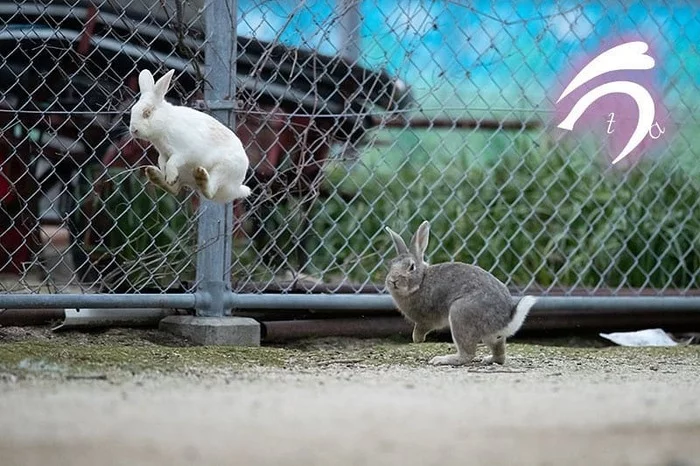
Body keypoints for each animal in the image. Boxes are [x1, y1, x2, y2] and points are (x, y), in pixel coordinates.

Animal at [129, 68, 252, 203]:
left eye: (147, 113)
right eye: (132, 110)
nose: (133, 130)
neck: (166, 122)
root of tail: (236, 188)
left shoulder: (185, 152)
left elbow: (173, 161)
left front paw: (170, 177)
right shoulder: (163, 154)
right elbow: (162, 162)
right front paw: (166, 175)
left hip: (223, 169)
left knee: (210, 191)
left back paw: (200, 176)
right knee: (175, 189)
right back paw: (155, 175)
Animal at [382, 220, 536, 366]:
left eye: (411, 267)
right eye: (391, 264)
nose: (393, 280)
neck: (421, 281)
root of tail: (504, 321)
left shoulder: (426, 320)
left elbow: (422, 327)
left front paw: (417, 339)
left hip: (459, 314)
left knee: (467, 354)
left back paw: (442, 360)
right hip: (491, 336)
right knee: (499, 355)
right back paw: (489, 359)